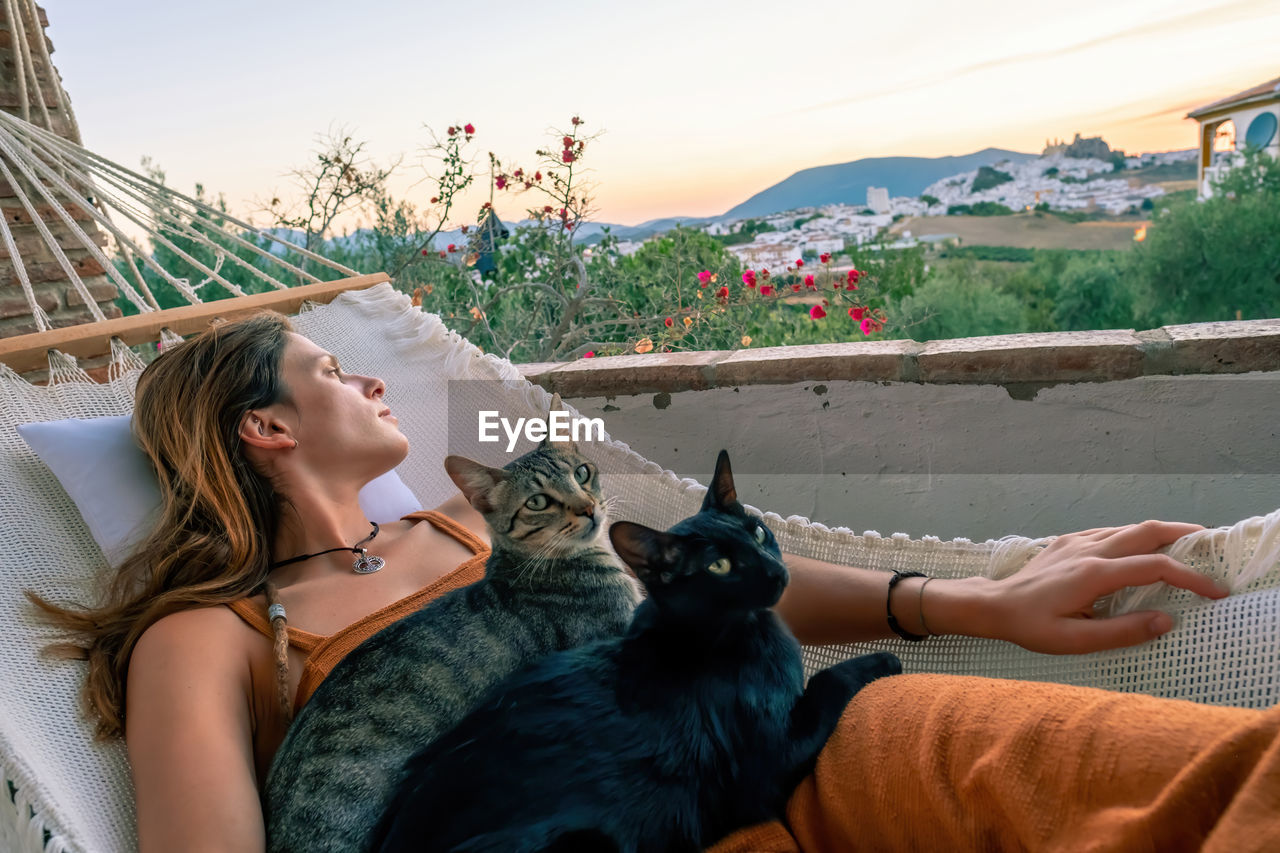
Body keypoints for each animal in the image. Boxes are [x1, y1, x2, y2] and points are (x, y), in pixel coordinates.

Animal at [373, 448, 906, 845]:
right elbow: (828, 681)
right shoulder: (766, 766)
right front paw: (884, 659)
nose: (776, 572)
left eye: (757, 531)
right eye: (718, 566)